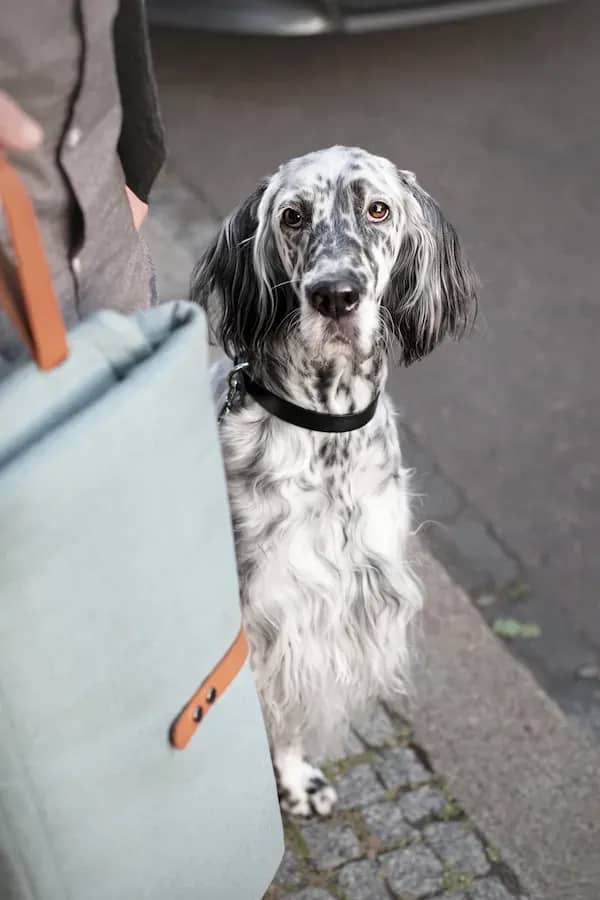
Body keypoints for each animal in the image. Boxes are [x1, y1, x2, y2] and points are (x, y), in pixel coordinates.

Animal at [192, 146, 478, 816]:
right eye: (292, 216)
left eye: (377, 209)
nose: (335, 297)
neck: (327, 437)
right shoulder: (265, 616)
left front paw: (296, 777)